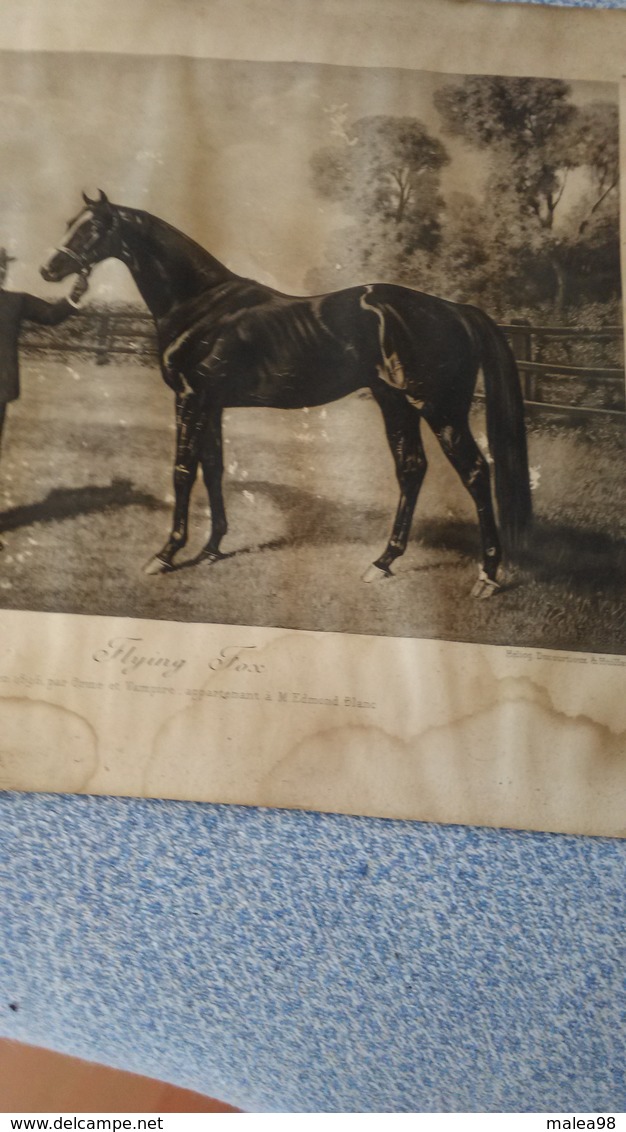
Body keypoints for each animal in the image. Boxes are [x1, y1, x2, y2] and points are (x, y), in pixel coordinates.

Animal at [41, 192, 529, 602]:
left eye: (94, 227)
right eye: (67, 223)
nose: (49, 269)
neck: (202, 305)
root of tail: (456, 311)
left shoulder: (191, 398)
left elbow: (182, 472)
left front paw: (166, 554)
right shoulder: (211, 403)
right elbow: (212, 469)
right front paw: (212, 548)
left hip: (440, 409)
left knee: (474, 472)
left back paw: (486, 576)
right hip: (394, 402)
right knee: (411, 469)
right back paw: (383, 562)